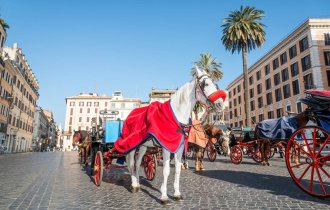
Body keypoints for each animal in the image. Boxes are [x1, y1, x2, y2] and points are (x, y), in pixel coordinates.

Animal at [125, 68, 224, 204]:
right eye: (206, 84)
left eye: (215, 85)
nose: (220, 104)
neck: (176, 116)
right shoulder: (167, 147)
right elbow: (166, 170)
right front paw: (164, 196)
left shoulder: (180, 147)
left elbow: (177, 169)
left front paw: (177, 194)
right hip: (132, 146)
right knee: (131, 163)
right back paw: (134, 184)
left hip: (144, 146)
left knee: (138, 162)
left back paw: (138, 183)